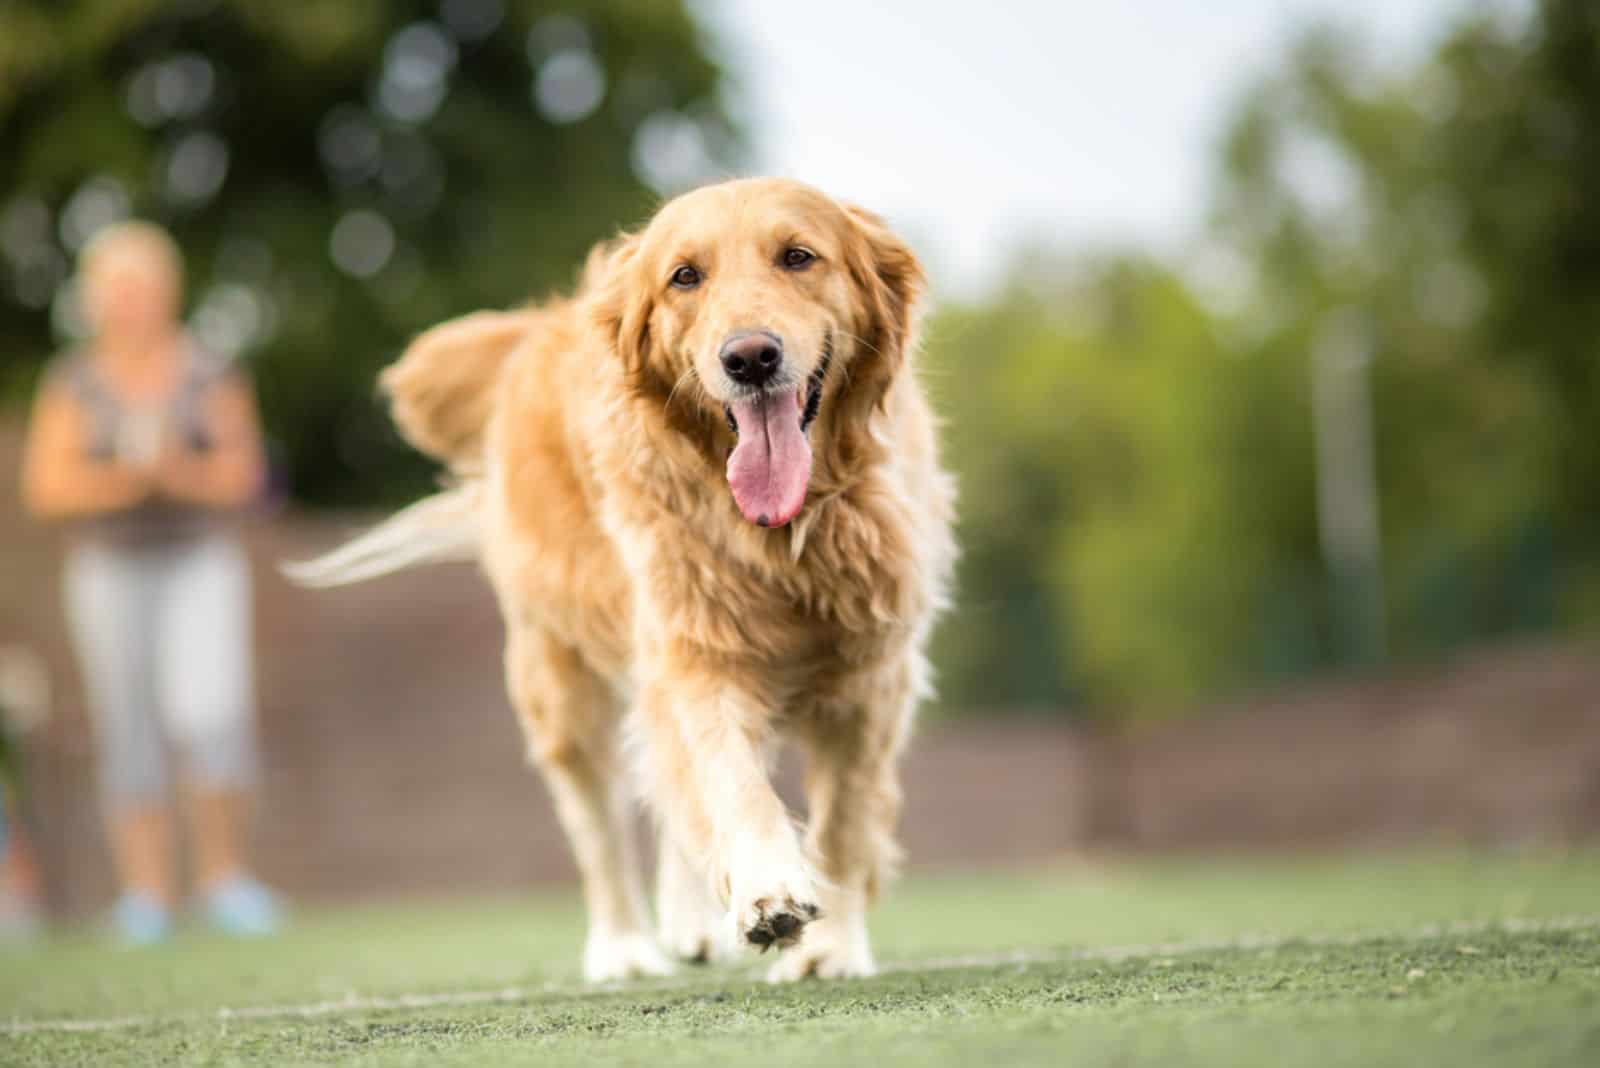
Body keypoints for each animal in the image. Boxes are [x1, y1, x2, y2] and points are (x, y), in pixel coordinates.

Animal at [296, 177, 953, 984]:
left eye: (799, 256)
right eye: (685, 277)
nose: (750, 358)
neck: (783, 534)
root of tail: (541, 325)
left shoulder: (872, 674)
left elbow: (845, 822)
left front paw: (828, 950)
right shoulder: (695, 650)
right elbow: (729, 780)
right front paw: (766, 888)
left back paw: (693, 925)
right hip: (560, 683)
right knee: (600, 825)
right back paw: (625, 950)